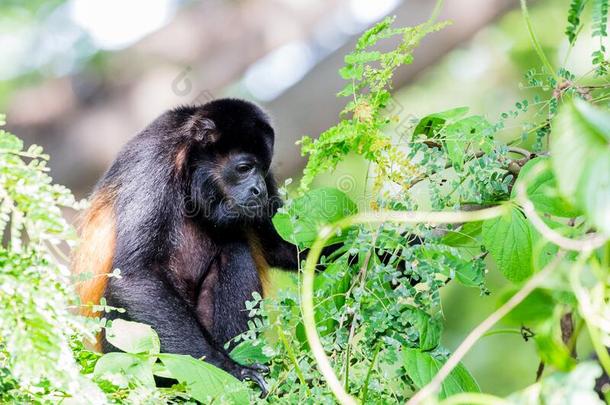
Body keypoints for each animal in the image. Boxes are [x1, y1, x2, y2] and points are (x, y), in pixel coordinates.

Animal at [70, 98, 300, 392]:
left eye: (262, 168)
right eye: (244, 168)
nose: (259, 190)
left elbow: (279, 247)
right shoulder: (152, 161)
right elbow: (134, 278)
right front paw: (230, 369)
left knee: (234, 249)